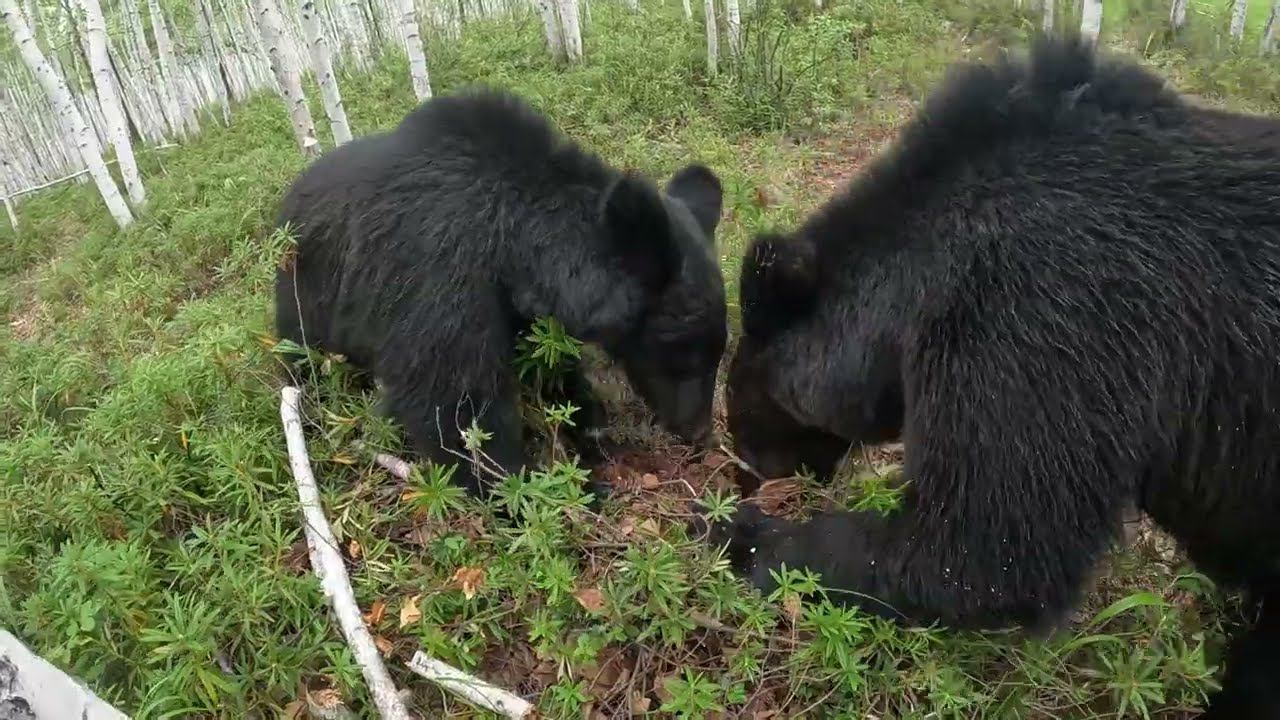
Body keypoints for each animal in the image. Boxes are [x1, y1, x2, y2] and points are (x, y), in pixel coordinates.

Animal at [274, 88, 727, 497]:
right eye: (686, 356)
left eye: (718, 351)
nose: (701, 433)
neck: (514, 249)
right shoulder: (442, 276)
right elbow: (454, 402)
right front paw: (533, 490)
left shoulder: (523, 310)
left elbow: (549, 364)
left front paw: (593, 431)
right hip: (307, 289)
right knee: (299, 349)